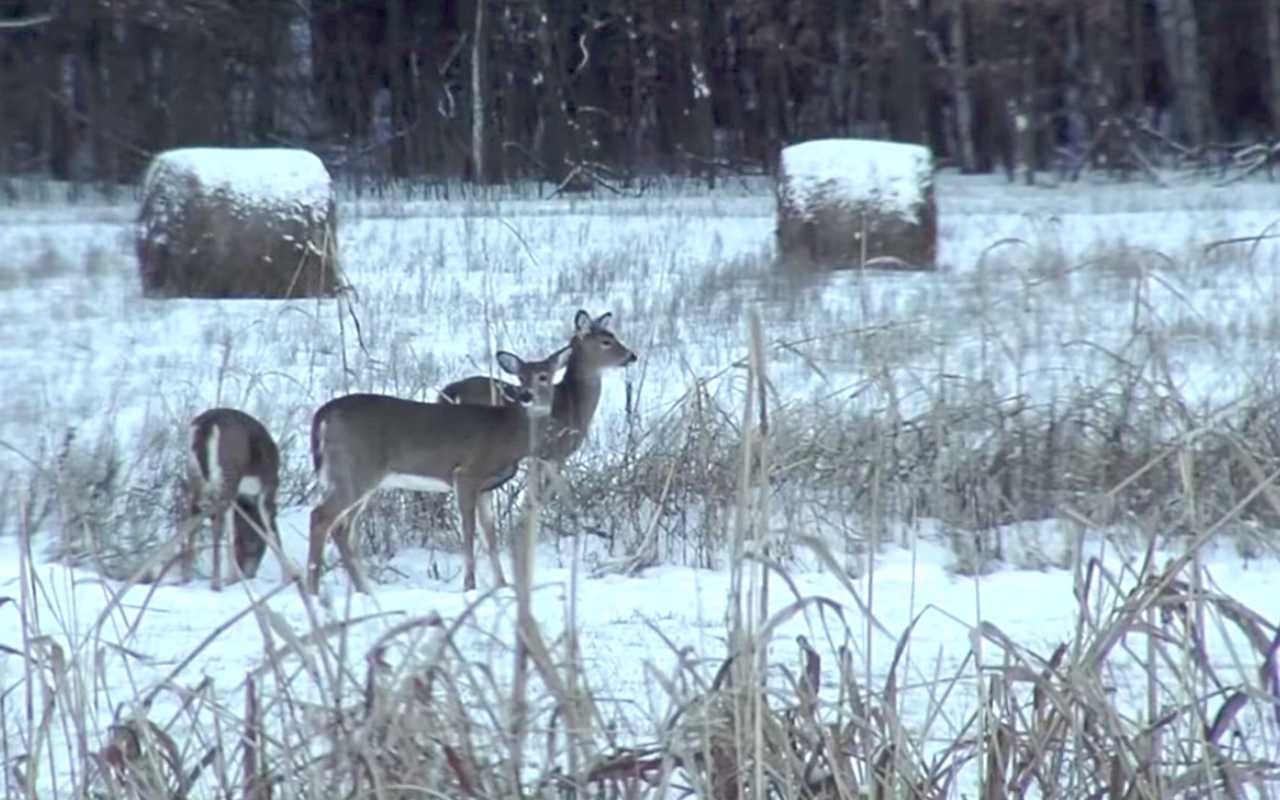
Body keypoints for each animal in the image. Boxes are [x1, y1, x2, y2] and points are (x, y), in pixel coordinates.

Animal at [186, 408, 280, 590]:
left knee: (191, 516)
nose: (251, 574)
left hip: (195, 475)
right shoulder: (267, 489)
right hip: (229, 473)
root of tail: (206, 426)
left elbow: (232, 531)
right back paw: (215, 584)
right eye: (256, 546)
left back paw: (186, 577)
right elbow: (273, 533)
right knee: (217, 524)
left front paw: (232, 578)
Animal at [308, 348, 568, 594]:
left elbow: (490, 534)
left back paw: (365, 590)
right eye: (521, 377)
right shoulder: (466, 473)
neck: (509, 433)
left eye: (544, 376)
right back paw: (314, 591)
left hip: (363, 478)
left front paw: (502, 585)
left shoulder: (486, 487)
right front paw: (469, 585)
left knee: (342, 528)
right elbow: (469, 531)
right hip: (353, 470)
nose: (526, 396)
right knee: (320, 517)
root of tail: (323, 414)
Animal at [438, 310, 637, 499]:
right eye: (606, 341)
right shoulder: (555, 452)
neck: (573, 402)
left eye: (612, 336)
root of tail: (449, 391)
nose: (632, 356)